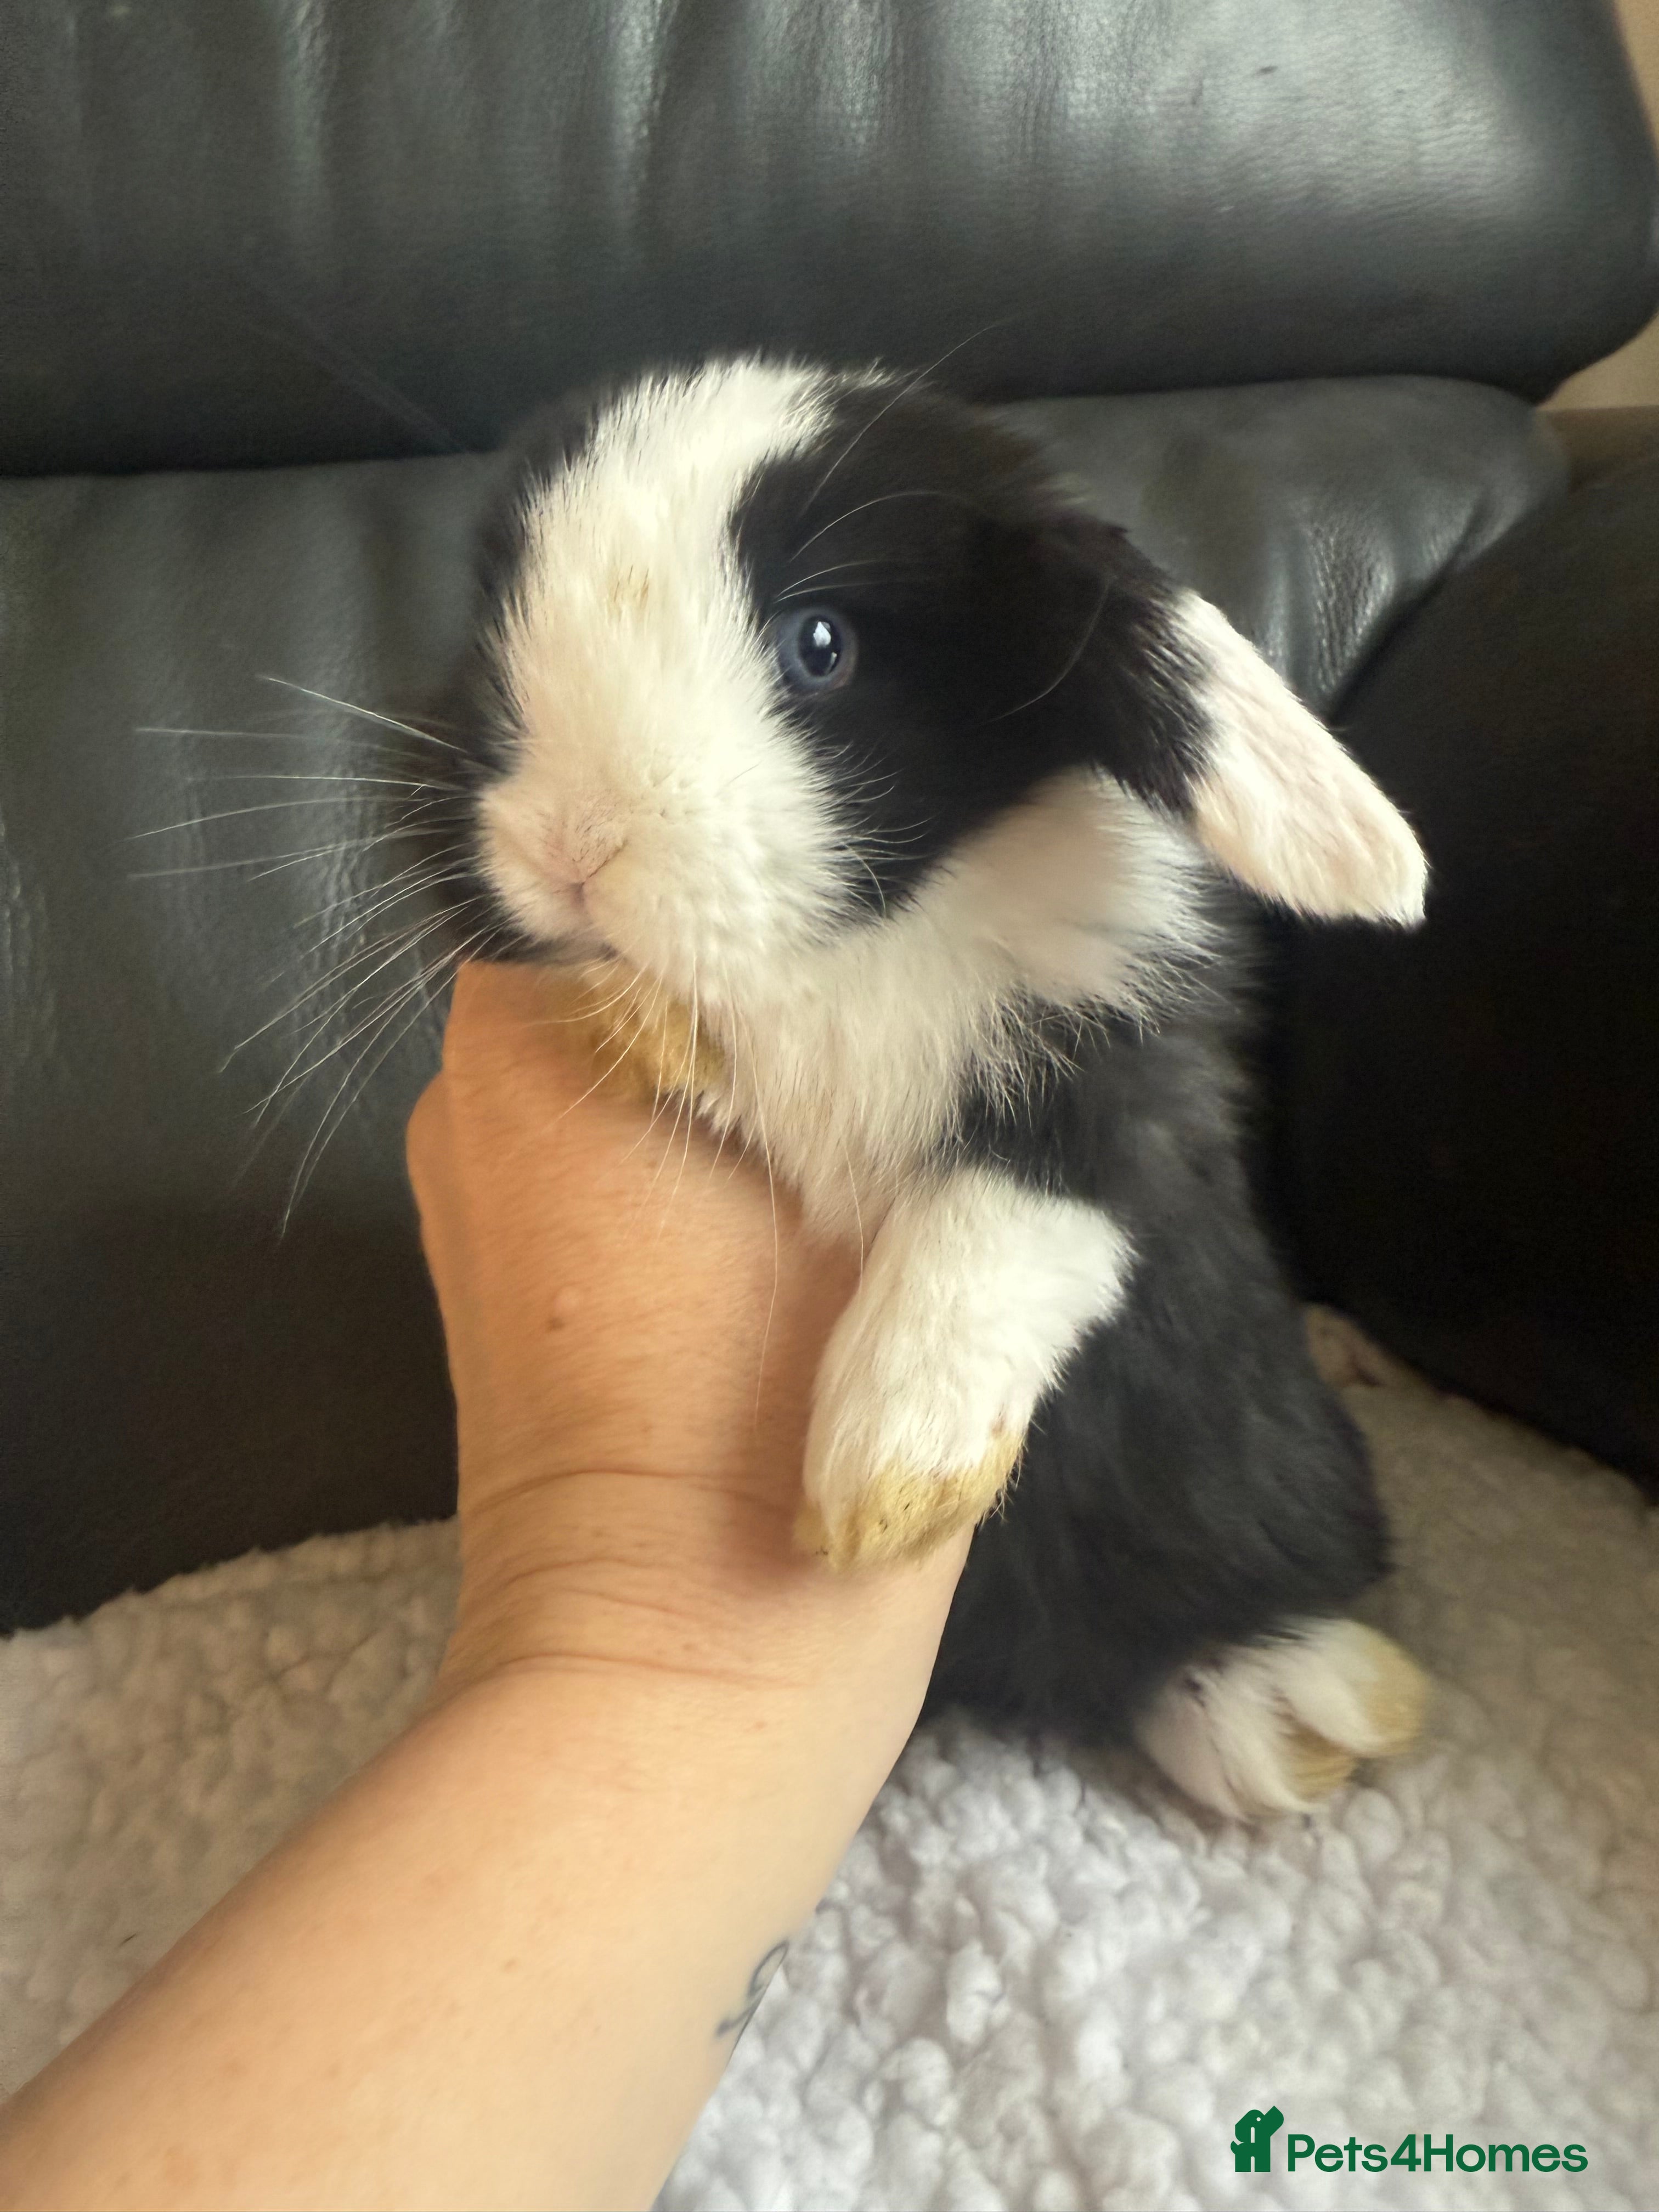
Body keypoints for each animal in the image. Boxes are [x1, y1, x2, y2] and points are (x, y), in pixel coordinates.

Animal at [419, 355, 1428, 1819]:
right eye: (499, 621)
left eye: (820, 645)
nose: (572, 845)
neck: (863, 940)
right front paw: (653, 1027)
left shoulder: (1132, 1080)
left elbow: (1008, 1220)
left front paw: (892, 1476)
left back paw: (1286, 1706)